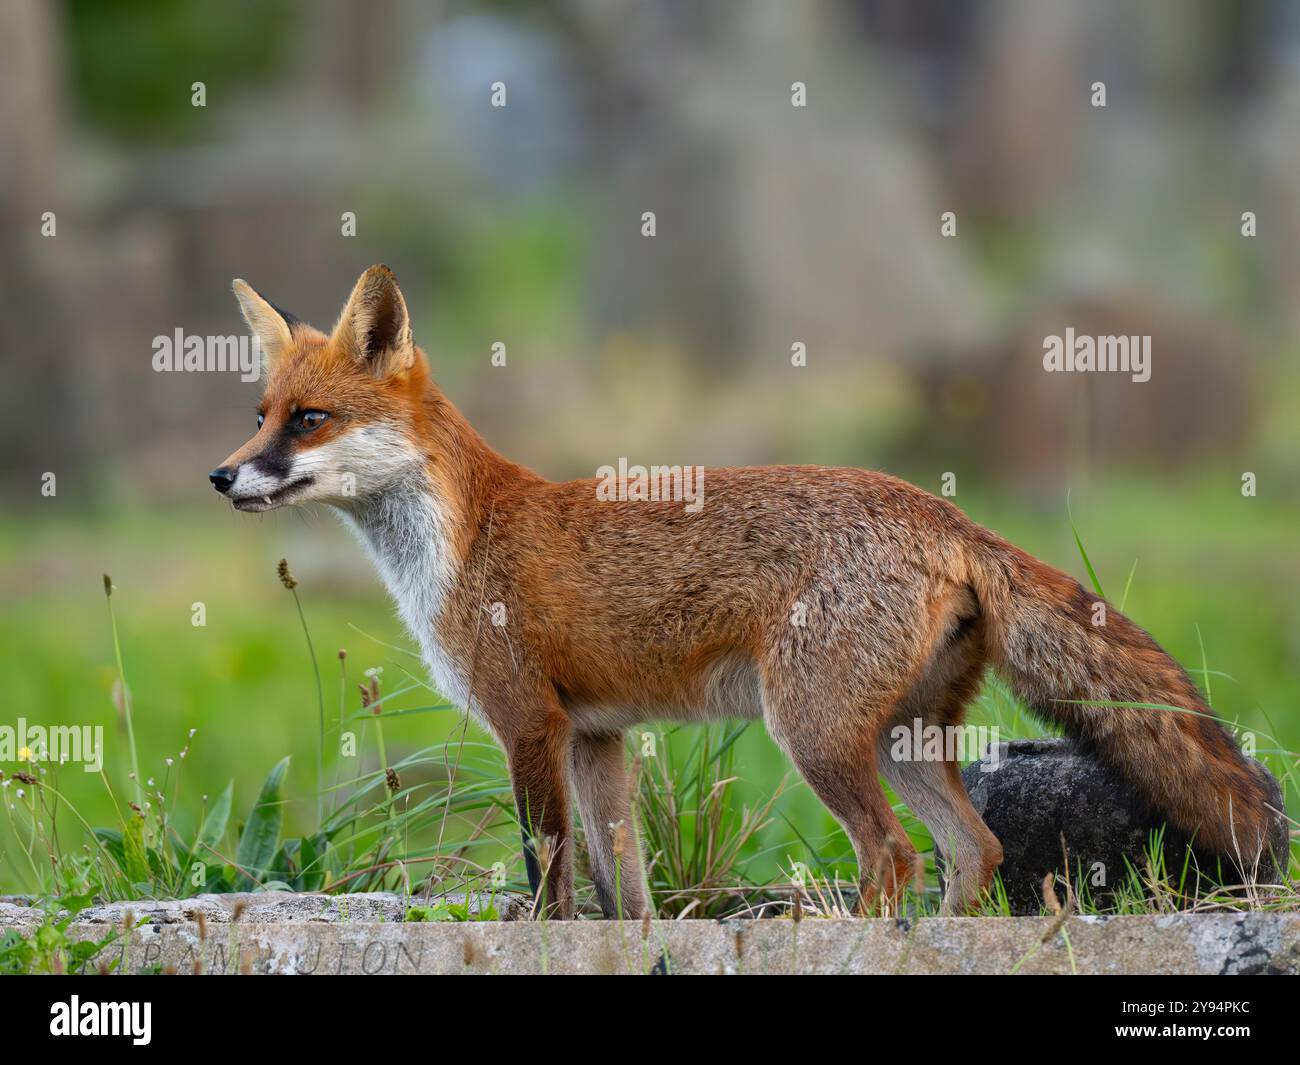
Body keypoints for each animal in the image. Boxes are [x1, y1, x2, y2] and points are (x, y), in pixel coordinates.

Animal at [212, 264, 1284, 918]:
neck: (462, 539)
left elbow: (552, 879)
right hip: (899, 738)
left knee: (894, 856)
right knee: (975, 850)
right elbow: (626, 892)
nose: (223, 477)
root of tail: (944, 512)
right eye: (258, 412)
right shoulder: (597, 737)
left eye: (308, 420)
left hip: (810, 730)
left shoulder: (528, 723)